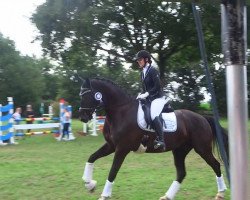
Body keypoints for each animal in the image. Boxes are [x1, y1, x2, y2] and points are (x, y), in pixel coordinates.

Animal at [78, 77, 229, 200]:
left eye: (87, 95)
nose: (82, 117)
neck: (121, 111)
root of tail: (202, 117)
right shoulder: (111, 146)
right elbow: (91, 158)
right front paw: (89, 184)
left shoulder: (122, 148)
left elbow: (112, 172)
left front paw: (104, 195)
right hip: (180, 150)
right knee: (181, 173)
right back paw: (167, 196)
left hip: (202, 148)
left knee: (215, 165)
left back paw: (220, 193)